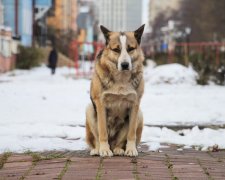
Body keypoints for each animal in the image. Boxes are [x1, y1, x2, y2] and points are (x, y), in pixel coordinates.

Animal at [85, 24, 145, 157]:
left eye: (130, 49)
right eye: (116, 50)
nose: (125, 65)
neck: (121, 79)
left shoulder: (135, 104)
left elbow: (131, 134)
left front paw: (131, 149)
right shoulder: (100, 104)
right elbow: (102, 132)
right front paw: (104, 150)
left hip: (139, 113)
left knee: (120, 141)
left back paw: (118, 149)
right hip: (90, 109)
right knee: (96, 139)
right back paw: (98, 149)